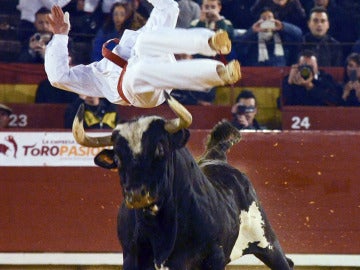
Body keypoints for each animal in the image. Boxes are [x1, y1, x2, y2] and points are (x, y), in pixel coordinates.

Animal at [71, 94, 294, 268]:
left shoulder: (213, 257)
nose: (136, 195)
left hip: (266, 240)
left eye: (160, 148)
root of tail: (218, 158)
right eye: (117, 159)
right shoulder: (132, 256)